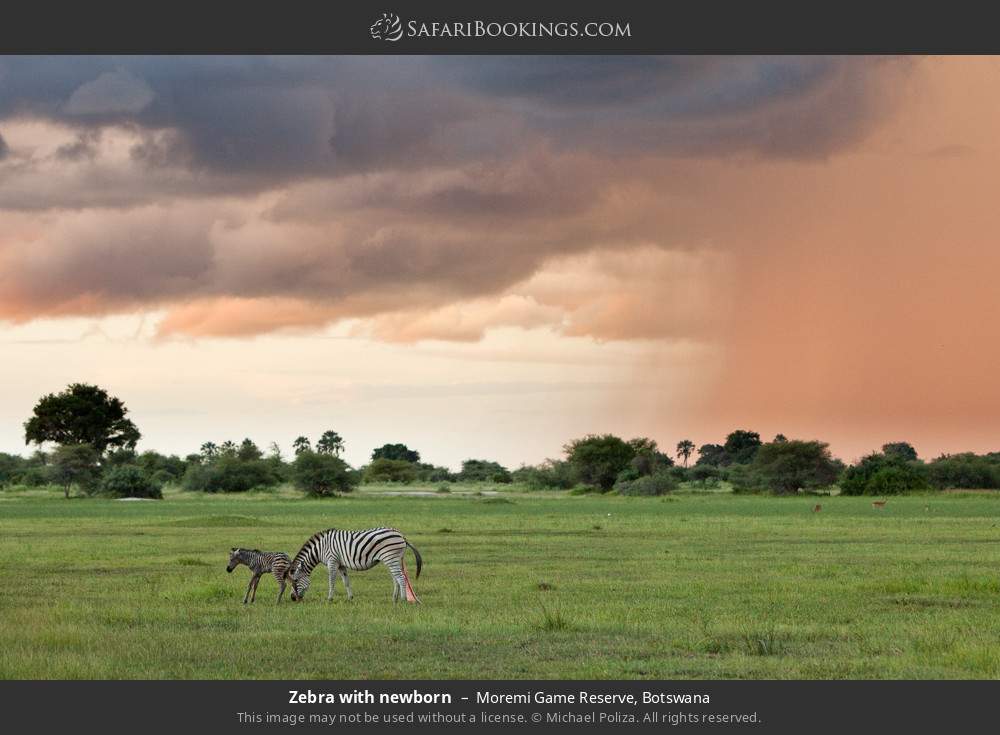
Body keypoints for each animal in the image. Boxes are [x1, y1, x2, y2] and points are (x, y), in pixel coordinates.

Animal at [285, 528, 422, 604]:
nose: (292, 598)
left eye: (295, 581)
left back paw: (403, 600)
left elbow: (331, 582)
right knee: (396, 579)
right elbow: (346, 582)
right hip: (393, 559)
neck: (320, 549)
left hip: (391, 558)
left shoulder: (332, 561)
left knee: (401, 578)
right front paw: (350, 598)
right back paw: (394, 599)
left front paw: (329, 599)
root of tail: (401, 535)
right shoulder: (341, 564)